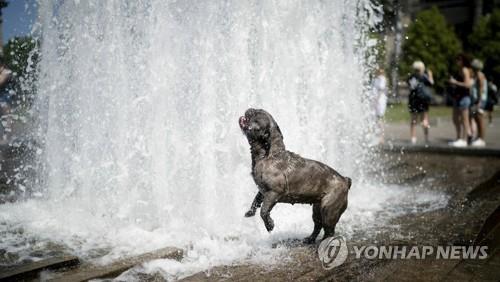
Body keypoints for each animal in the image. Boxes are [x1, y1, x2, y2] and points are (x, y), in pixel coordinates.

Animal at [239, 109, 352, 243]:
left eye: (256, 114)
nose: (250, 108)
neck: (267, 154)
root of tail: (345, 180)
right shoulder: (263, 191)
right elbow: (256, 201)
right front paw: (250, 212)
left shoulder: (273, 193)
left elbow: (264, 210)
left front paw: (269, 225)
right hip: (317, 208)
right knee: (318, 225)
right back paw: (310, 239)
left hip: (328, 209)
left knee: (329, 230)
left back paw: (324, 242)